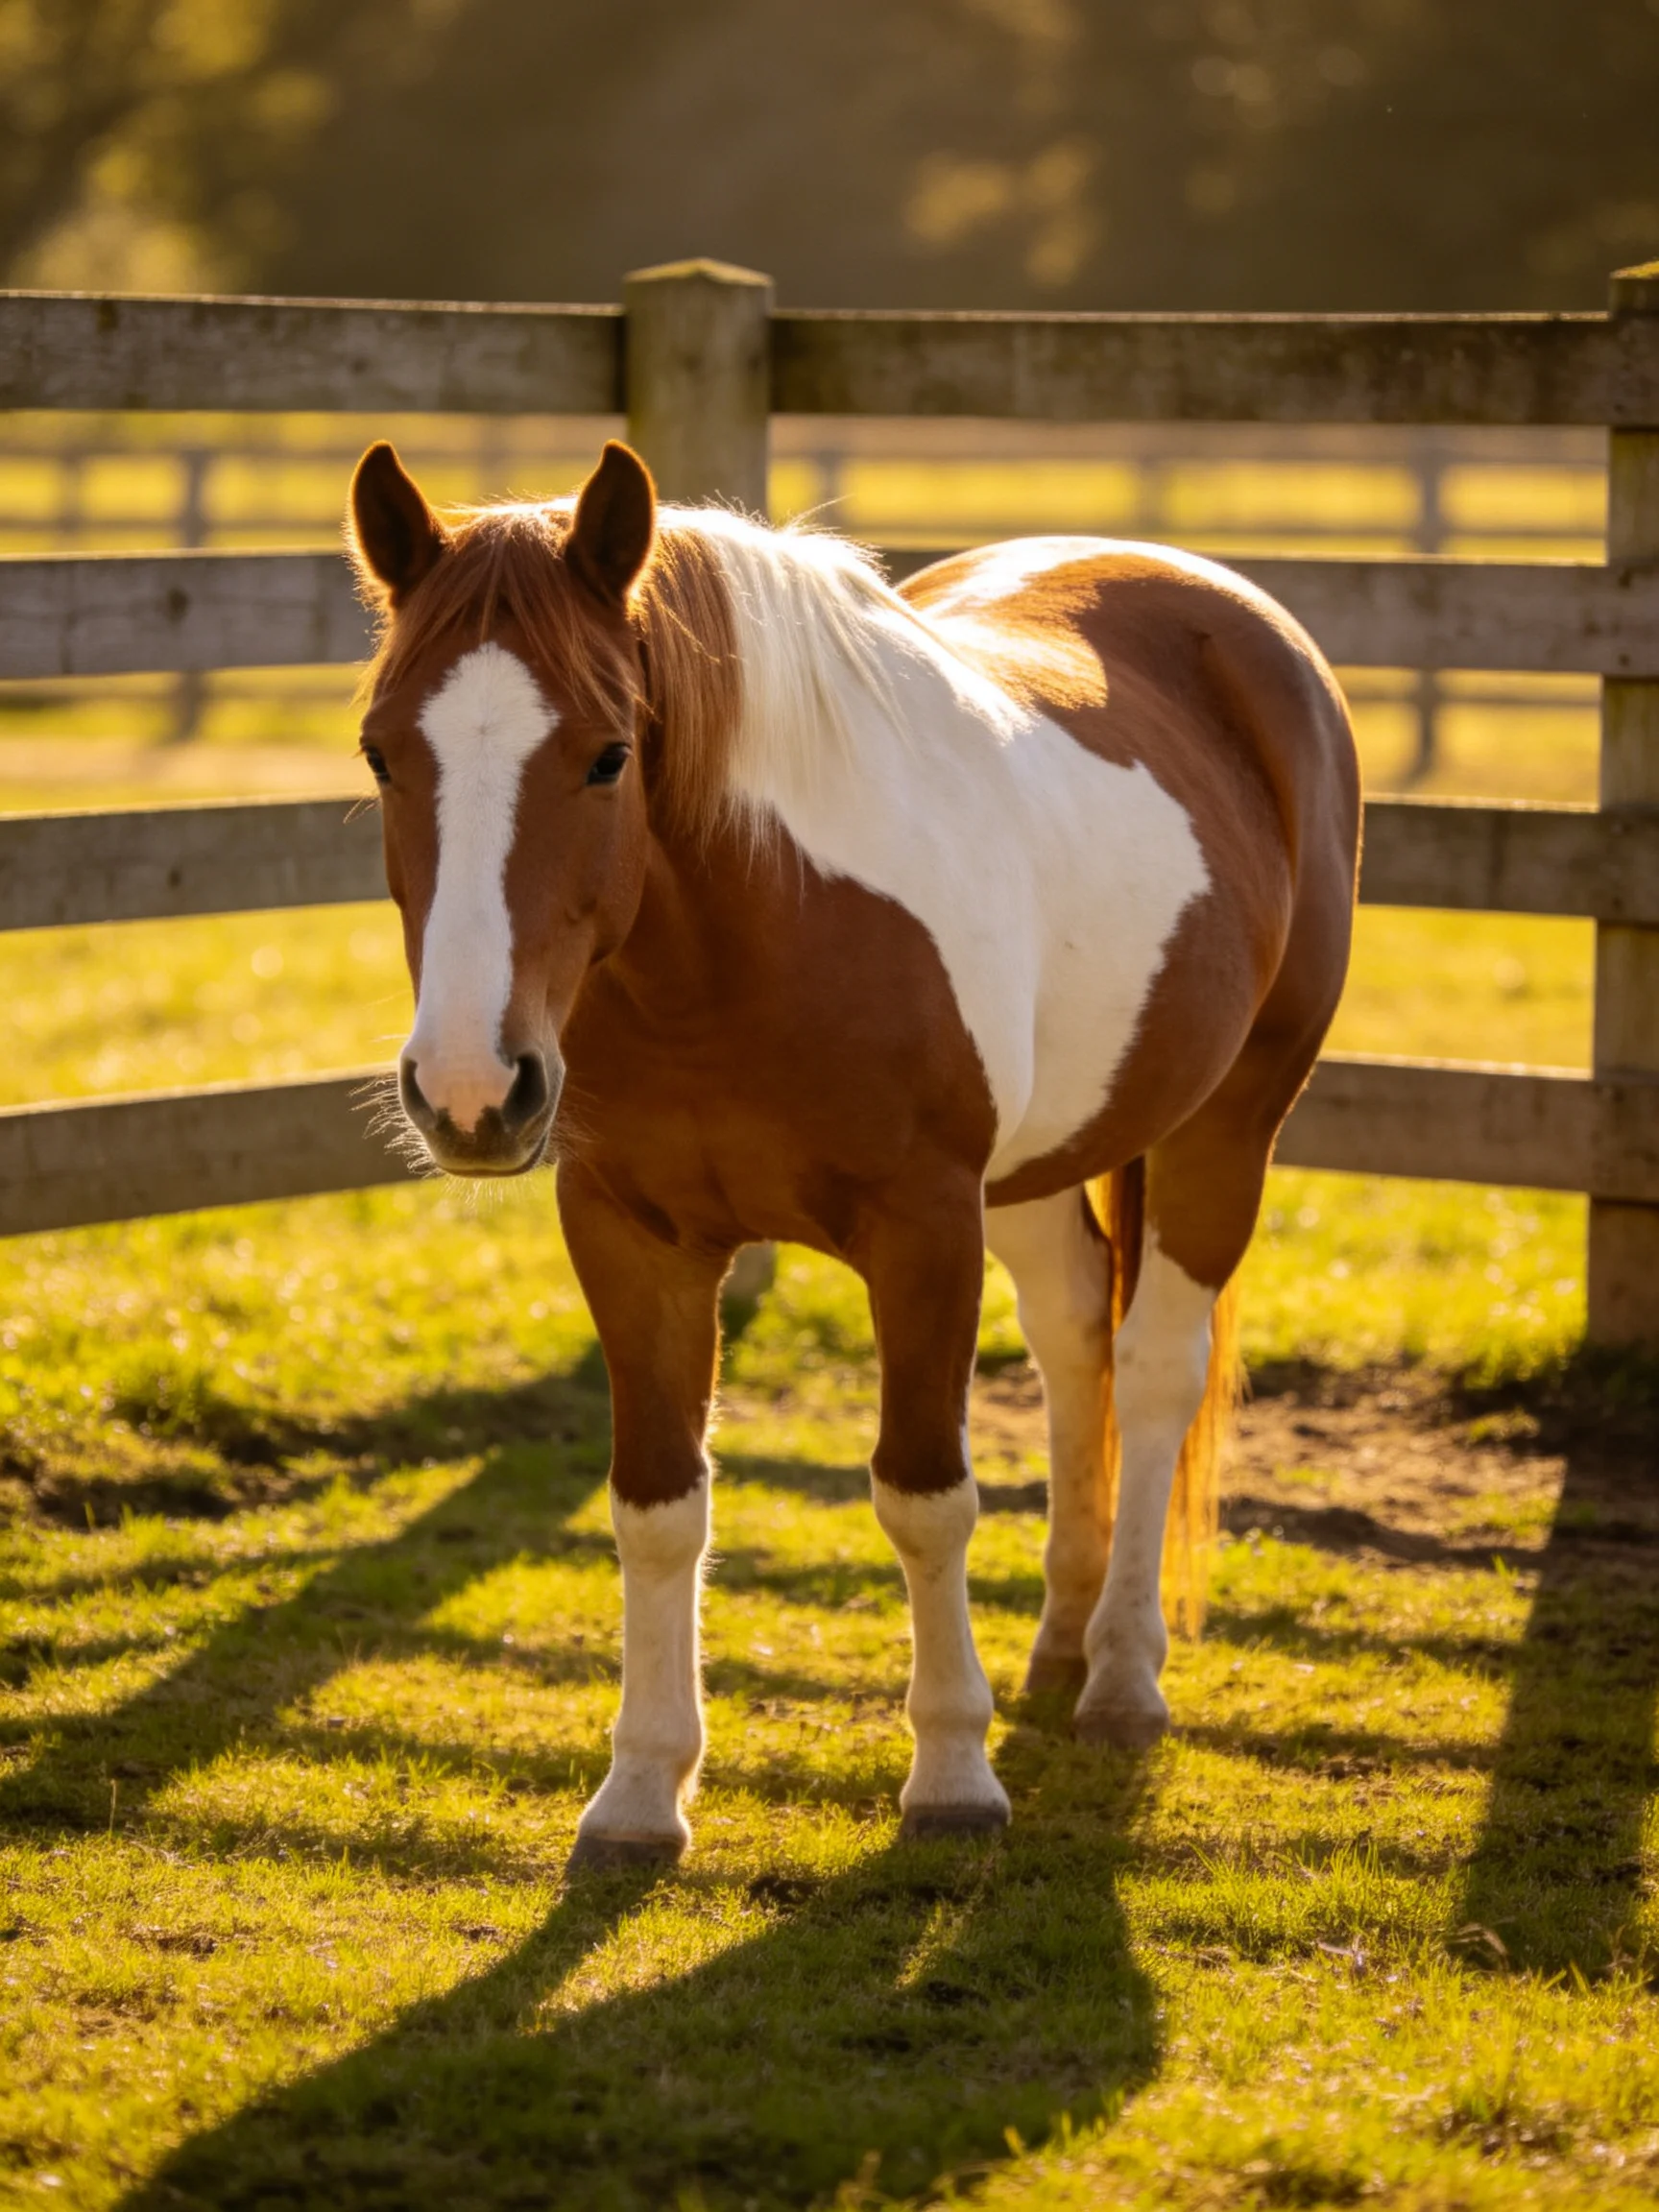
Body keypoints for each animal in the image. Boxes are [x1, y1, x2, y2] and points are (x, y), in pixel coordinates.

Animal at [346, 436, 1360, 1867]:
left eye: (608, 757)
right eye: (383, 755)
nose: (471, 1091)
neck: (748, 943)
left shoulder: (924, 1230)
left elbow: (924, 1495)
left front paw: (950, 1775)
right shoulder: (632, 1236)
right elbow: (657, 1506)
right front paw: (641, 1790)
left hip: (1231, 1126)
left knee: (1158, 1370)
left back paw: (1121, 1674)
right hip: (1039, 1171)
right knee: (1076, 1345)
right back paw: (1060, 1641)